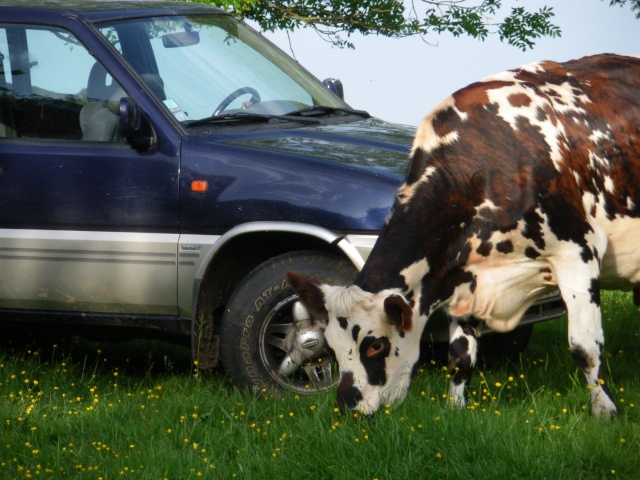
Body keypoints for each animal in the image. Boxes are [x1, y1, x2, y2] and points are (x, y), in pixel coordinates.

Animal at [288, 54, 640, 418]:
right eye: (330, 344)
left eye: (375, 345)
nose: (347, 407)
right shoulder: (466, 276)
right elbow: (459, 357)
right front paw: (454, 409)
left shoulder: (577, 252)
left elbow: (585, 347)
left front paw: (605, 410)